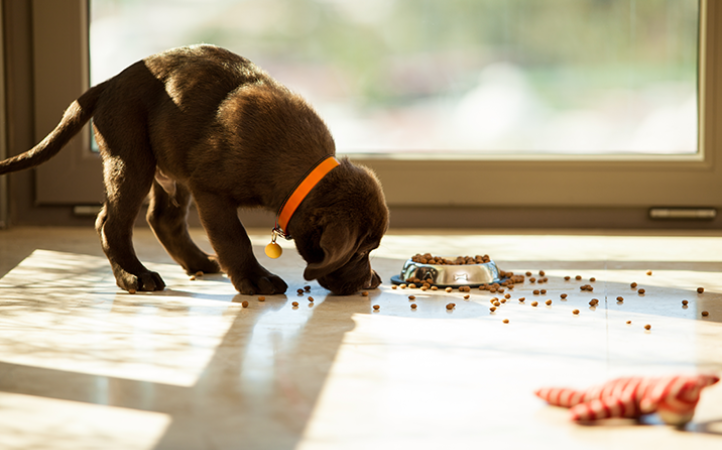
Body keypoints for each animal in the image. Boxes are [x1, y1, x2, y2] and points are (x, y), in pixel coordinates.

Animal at [0, 44, 388, 296]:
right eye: (359, 252)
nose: (373, 282)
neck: (300, 167)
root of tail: (107, 84)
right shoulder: (211, 191)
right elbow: (235, 238)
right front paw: (255, 279)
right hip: (132, 159)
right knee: (110, 223)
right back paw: (134, 277)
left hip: (171, 168)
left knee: (162, 219)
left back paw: (198, 262)